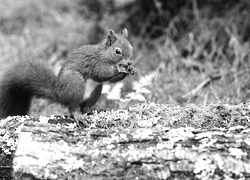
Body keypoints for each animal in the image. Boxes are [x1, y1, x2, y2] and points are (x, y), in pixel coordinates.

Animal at [0, 28, 137, 119]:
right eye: (117, 51)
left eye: (131, 47)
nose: (130, 62)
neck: (104, 55)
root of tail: (59, 94)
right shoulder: (95, 63)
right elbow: (101, 73)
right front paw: (119, 69)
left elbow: (112, 80)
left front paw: (131, 70)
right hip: (75, 82)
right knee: (73, 107)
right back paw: (78, 116)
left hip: (96, 90)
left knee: (84, 107)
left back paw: (92, 110)